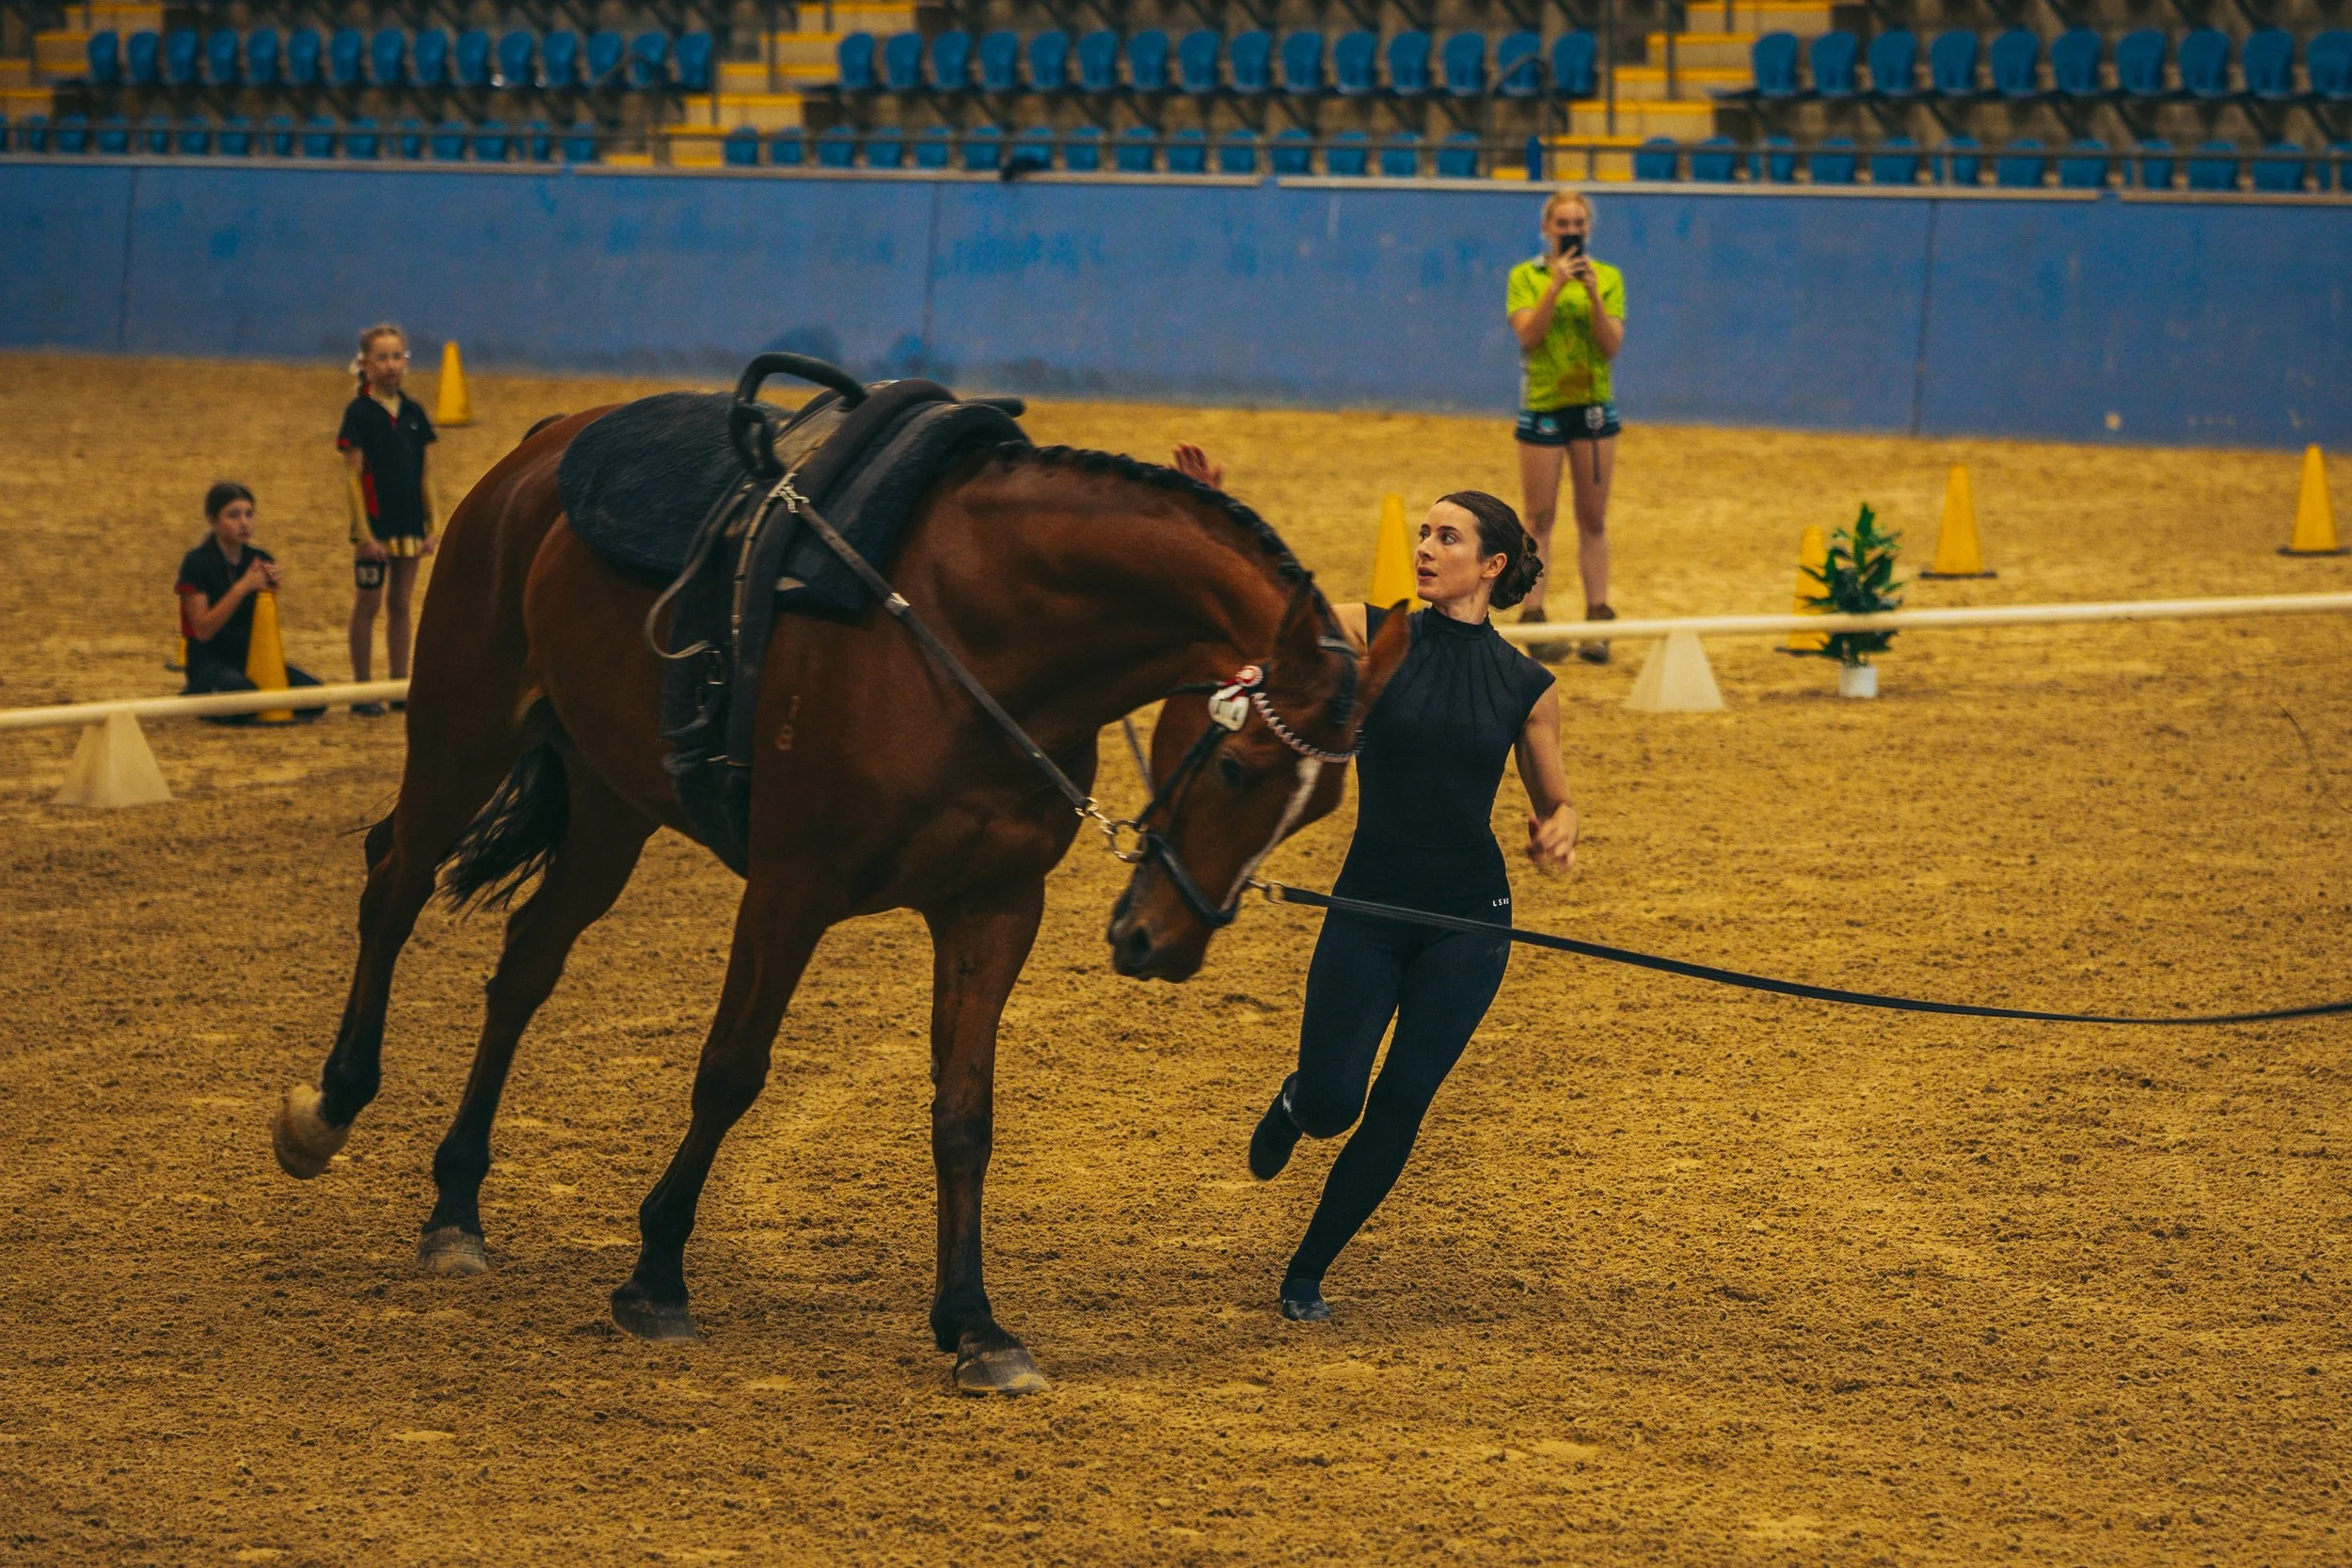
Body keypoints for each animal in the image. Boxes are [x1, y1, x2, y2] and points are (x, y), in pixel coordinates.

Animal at [269, 405, 1411, 1391]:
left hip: (606, 802)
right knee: (393, 885)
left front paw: (975, 1325)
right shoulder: (790, 887)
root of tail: (543, 446)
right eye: (1240, 769)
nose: (1164, 943)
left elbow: (964, 1112)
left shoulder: (993, 905)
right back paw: (326, 1109)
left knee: (524, 964)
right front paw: (656, 1275)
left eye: (1321, 808)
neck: (974, 635)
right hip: (462, 729)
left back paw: (457, 1204)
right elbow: (729, 1072)